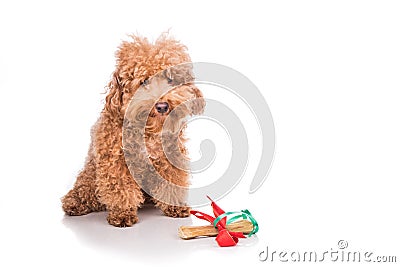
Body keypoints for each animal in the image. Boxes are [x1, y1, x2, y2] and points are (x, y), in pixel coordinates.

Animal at [64, 34, 206, 228]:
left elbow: (172, 182)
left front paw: (174, 206)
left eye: (170, 80)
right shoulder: (116, 161)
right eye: (144, 81)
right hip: (89, 177)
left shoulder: (170, 159)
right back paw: (74, 203)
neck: (148, 131)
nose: (162, 106)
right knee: (84, 191)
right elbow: (121, 189)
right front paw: (123, 214)